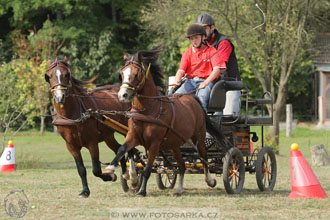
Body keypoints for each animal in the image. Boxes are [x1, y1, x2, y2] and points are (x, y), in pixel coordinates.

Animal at [44, 57, 130, 198]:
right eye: (49, 76)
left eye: (66, 74)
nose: (59, 97)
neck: (73, 115)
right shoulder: (71, 146)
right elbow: (81, 169)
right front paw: (85, 191)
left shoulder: (92, 143)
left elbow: (96, 170)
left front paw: (110, 176)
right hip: (108, 136)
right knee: (119, 149)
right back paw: (125, 175)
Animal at [105, 48, 224, 196]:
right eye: (121, 73)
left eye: (136, 74)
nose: (123, 95)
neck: (147, 110)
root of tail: (193, 99)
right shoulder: (133, 136)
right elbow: (122, 149)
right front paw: (122, 174)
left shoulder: (155, 144)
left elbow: (147, 168)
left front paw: (142, 191)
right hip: (174, 144)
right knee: (181, 165)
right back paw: (179, 189)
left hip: (199, 138)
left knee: (204, 158)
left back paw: (210, 180)